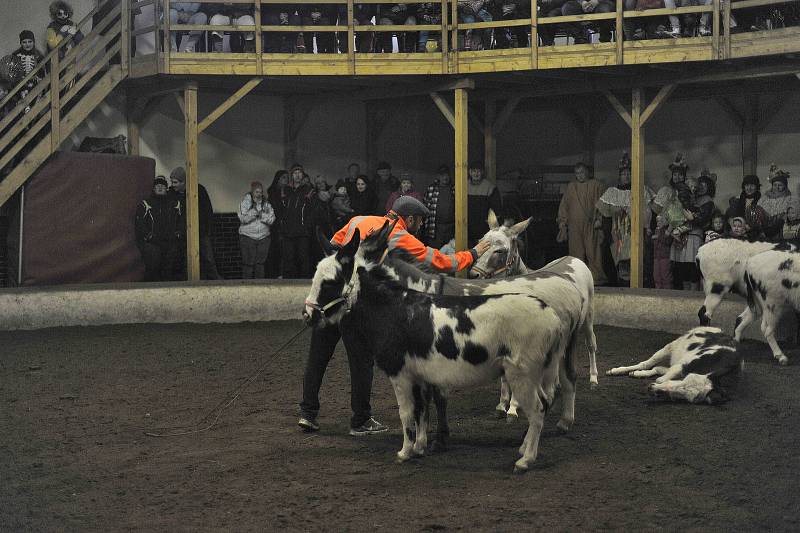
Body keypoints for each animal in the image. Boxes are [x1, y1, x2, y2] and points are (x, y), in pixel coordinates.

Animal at [306, 222, 592, 472]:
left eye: (330, 282)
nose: (308, 315)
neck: (397, 306)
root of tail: (554, 308)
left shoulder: (401, 374)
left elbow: (408, 413)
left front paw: (407, 451)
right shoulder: (421, 374)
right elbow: (422, 410)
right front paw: (422, 446)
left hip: (524, 373)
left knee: (541, 405)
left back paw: (525, 458)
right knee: (554, 393)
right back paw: (533, 441)